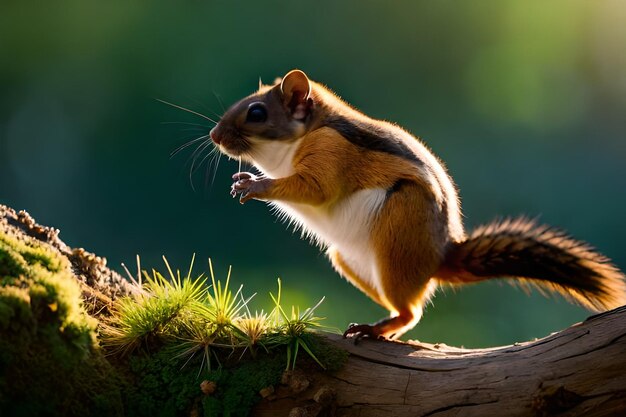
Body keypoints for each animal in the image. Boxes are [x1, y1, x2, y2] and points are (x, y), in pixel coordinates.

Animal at [207, 70, 620, 340]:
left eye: (257, 112)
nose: (214, 135)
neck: (306, 134)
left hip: (398, 234)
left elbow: (315, 189)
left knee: (411, 312)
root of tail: (441, 256)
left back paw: (375, 329)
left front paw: (256, 184)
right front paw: (242, 179)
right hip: (351, 261)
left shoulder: (329, 152)